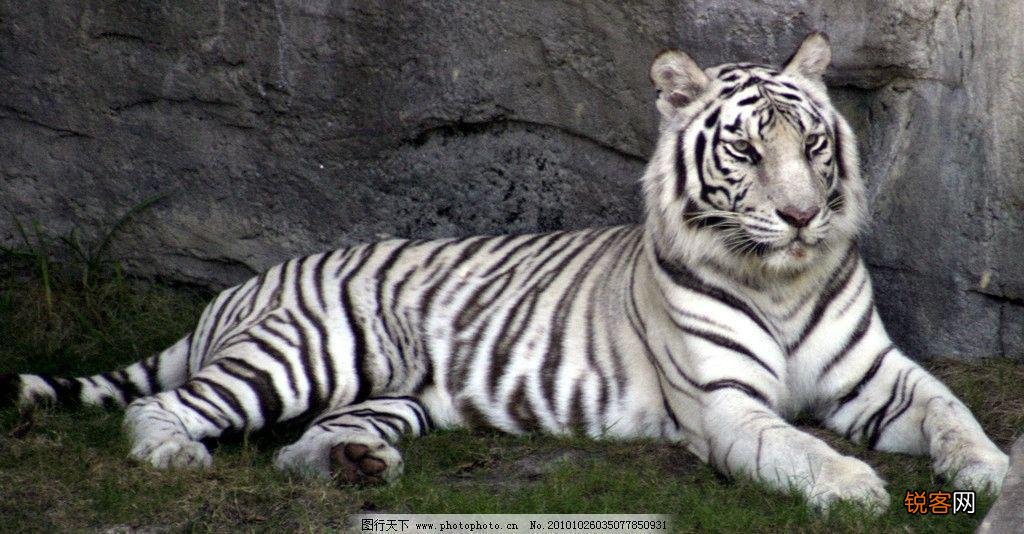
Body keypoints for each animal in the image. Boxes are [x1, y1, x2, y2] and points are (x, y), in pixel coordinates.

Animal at [0, 33, 1009, 511]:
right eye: (748, 154)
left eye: (813, 145)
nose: (802, 217)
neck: (782, 278)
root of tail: (240, 287)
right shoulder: (724, 403)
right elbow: (796, 444)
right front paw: (851, 486)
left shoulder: (879, 375)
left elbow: (953, 411)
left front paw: (994, 474)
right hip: (308, 353)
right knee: (160, 407)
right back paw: (177, 452)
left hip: (390, 393)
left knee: (296, 445)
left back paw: (356, 466)